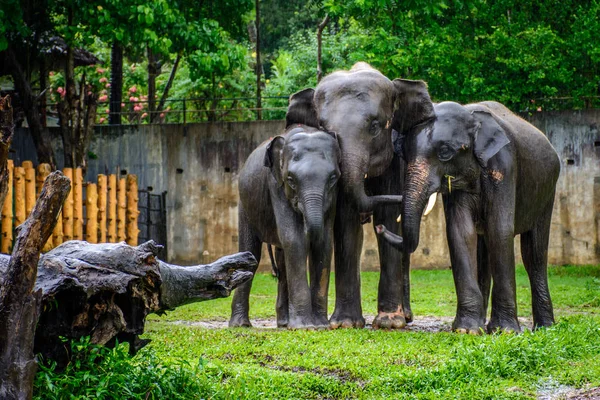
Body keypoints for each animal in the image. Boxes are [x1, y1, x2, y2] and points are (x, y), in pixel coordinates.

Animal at [230, 125, 342, 328]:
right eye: (290, 179)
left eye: (333, 178)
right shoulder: (275, 185)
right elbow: (294, 240)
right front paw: (306, 327)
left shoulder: (335, 194)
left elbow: (325, 241)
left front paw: (321, 325)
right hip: (245, 205)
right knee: (251, 254)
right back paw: (240, 324)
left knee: (282, 262)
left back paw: (283, 323)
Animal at [284, 62, 420, 328]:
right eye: (324, 129)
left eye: (375, 126)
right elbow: (345, 223)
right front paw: (345, 323)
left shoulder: (394, 163)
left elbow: (388, 217)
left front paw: (389, 323)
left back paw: (406, 317)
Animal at [378, 79, 560, 332]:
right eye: (404, 152)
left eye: (445, 152)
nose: (380, 227)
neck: (471, 117)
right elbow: (461, 232)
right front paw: (467, 330)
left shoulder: (504, 165)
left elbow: (500, 230)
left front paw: (504, 331)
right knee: (484, 250)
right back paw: (484, 325)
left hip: (547, 190)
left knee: (533, 252)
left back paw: (544, 327)